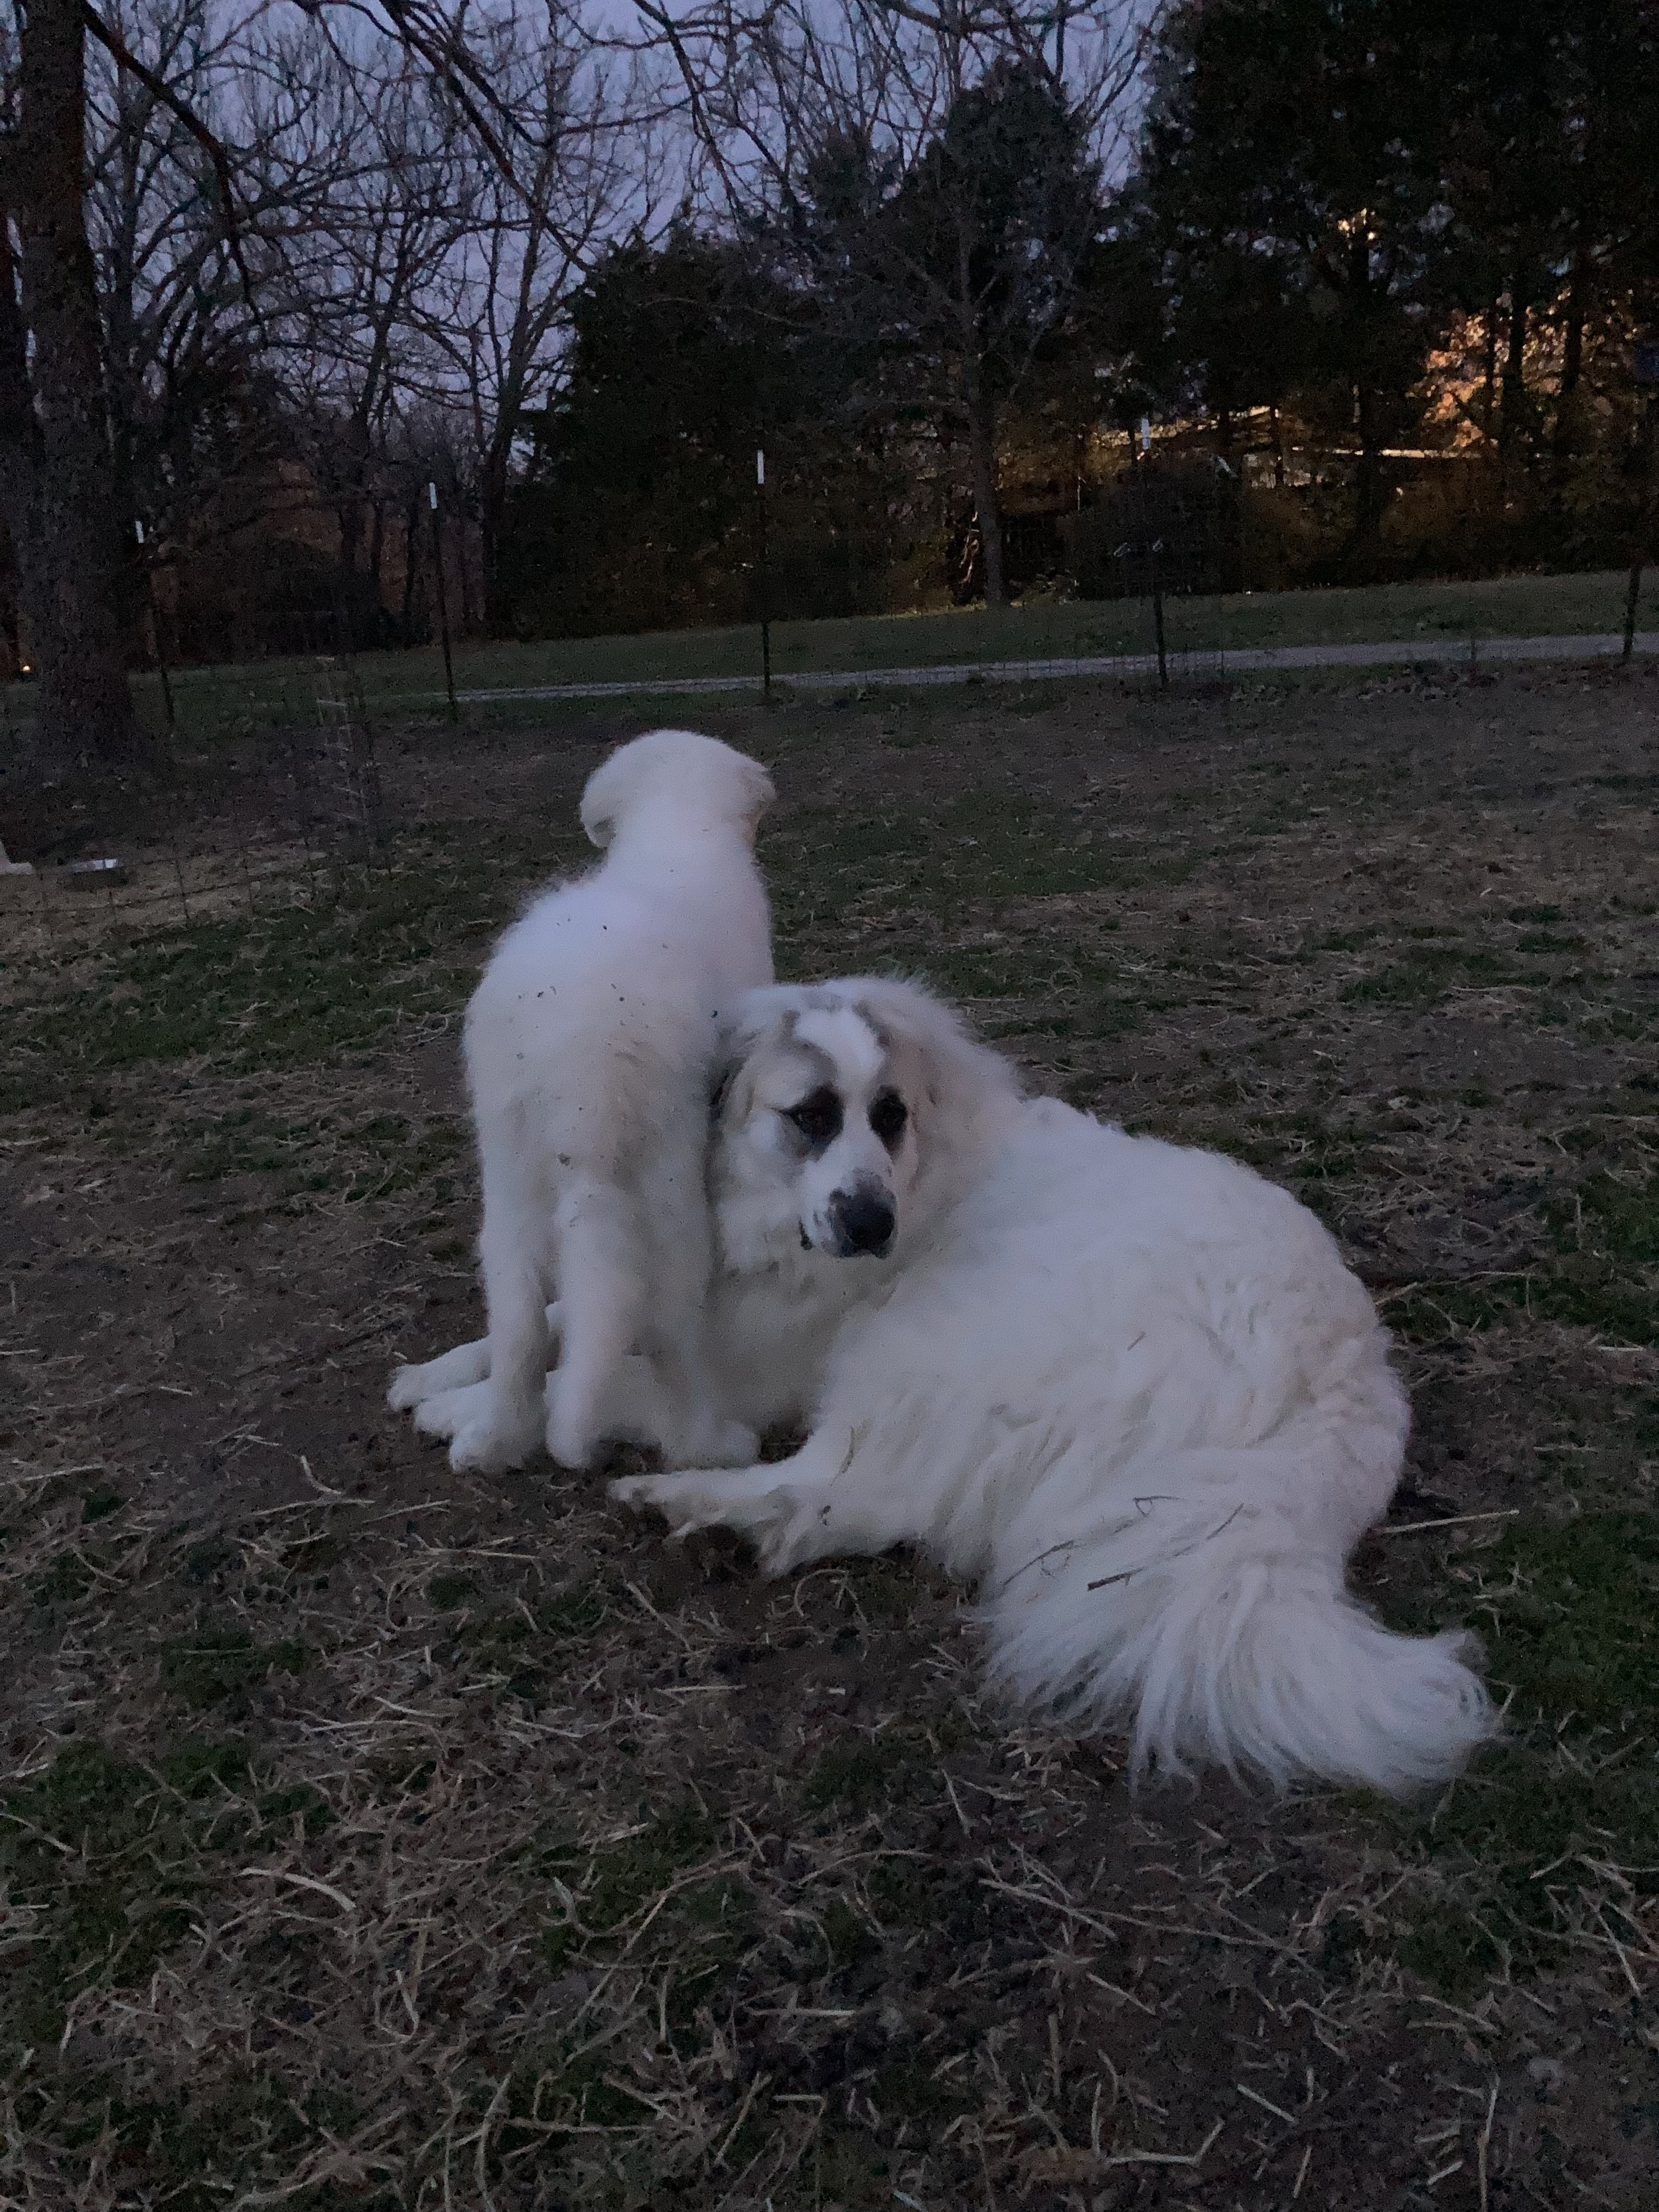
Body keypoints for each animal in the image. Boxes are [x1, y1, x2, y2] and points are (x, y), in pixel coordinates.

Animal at [392, 734, 778, 1477]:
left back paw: (492, 1444)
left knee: (517, 1326)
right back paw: (710, 1445)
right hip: (669, 1184)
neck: (673, 828)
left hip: (509, 1171)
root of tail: (578, 1047)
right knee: (668, 1332)